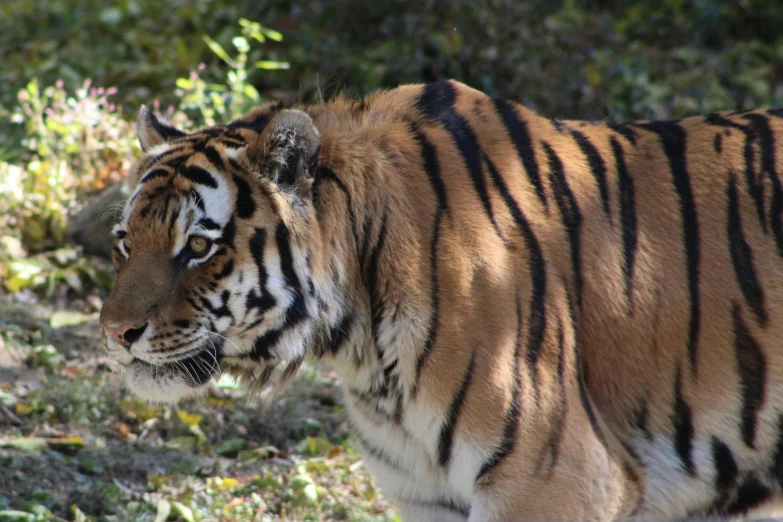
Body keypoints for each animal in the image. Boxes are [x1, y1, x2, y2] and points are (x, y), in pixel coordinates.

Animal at [99, 79, 783, 516]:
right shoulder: (427, 495)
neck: (361, 346)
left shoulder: (556, 481)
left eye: (197, 246)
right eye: (125, 242)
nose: (114, 334)